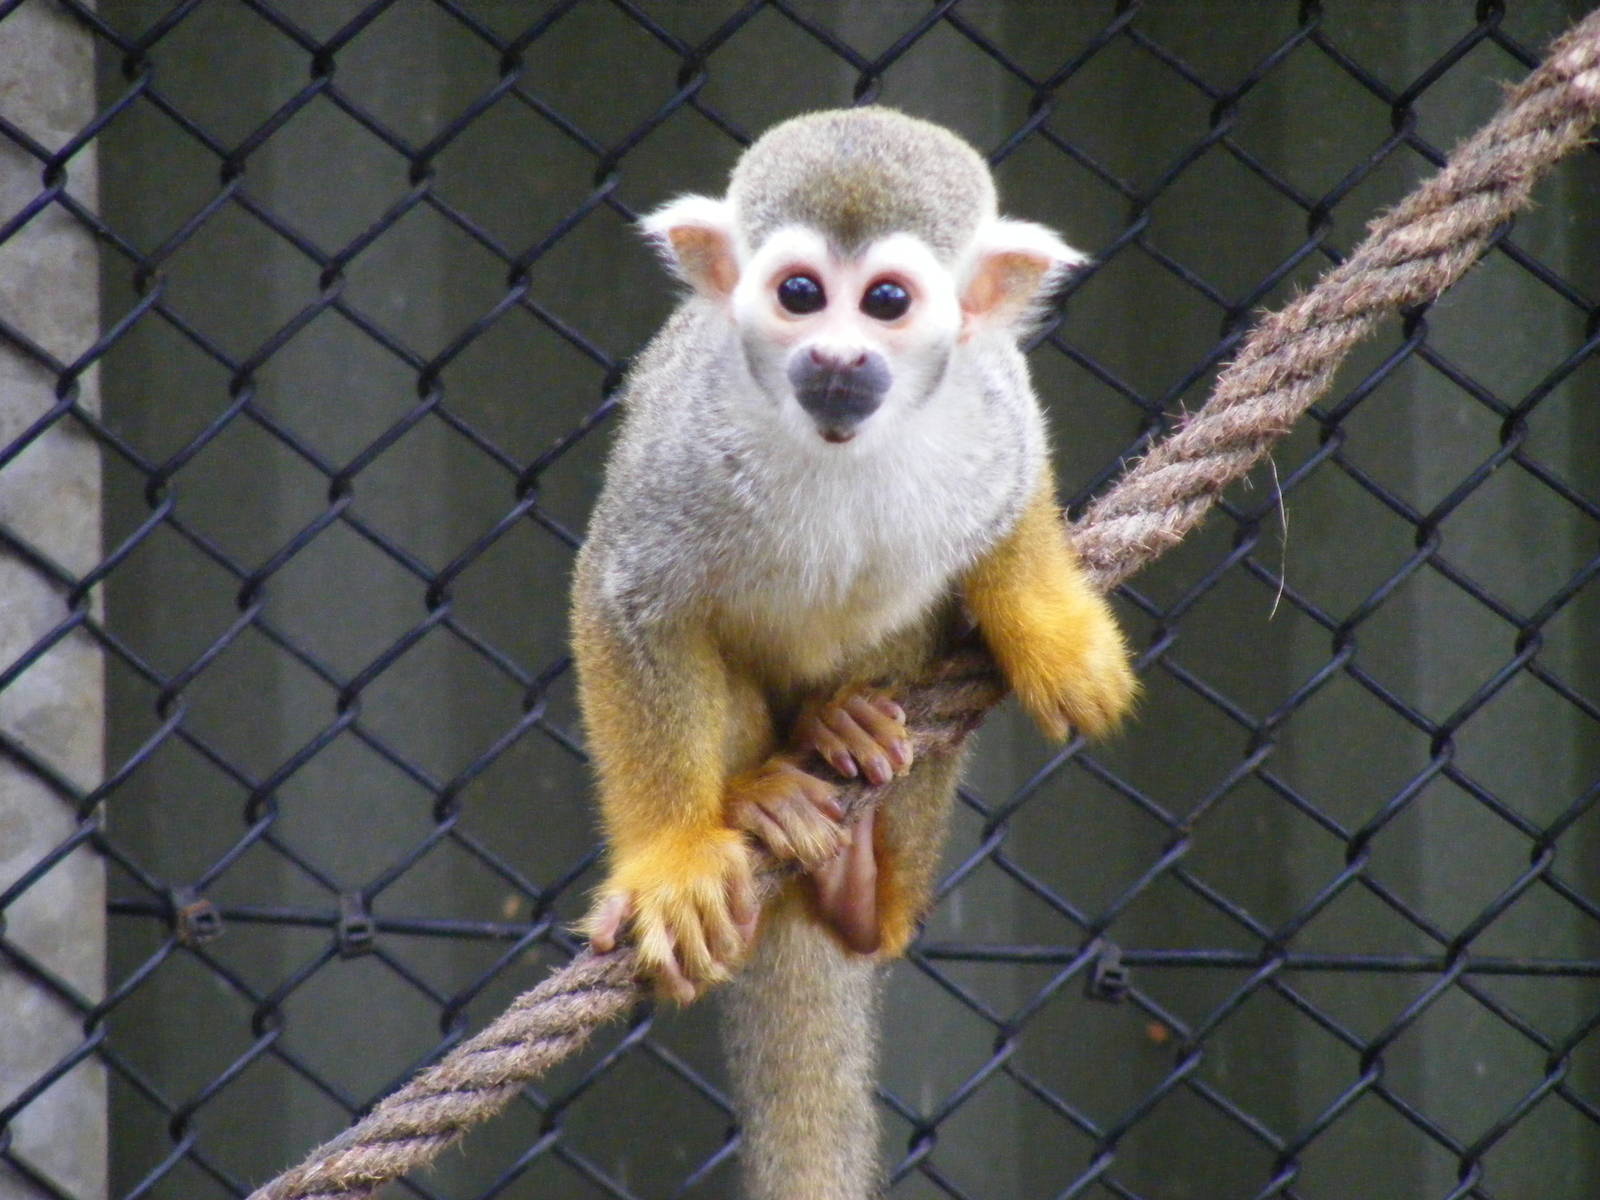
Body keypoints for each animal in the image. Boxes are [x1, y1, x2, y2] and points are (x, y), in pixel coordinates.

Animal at [572, 107, 1136, 1200]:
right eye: (799, 295)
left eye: (885, 302)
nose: (836, 358)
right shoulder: (685, 447)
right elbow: (628, 602)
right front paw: (671, 857)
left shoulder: (986, 401)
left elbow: (1011, 496)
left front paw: (1052, 626)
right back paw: (766, 799)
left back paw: (862, 864)